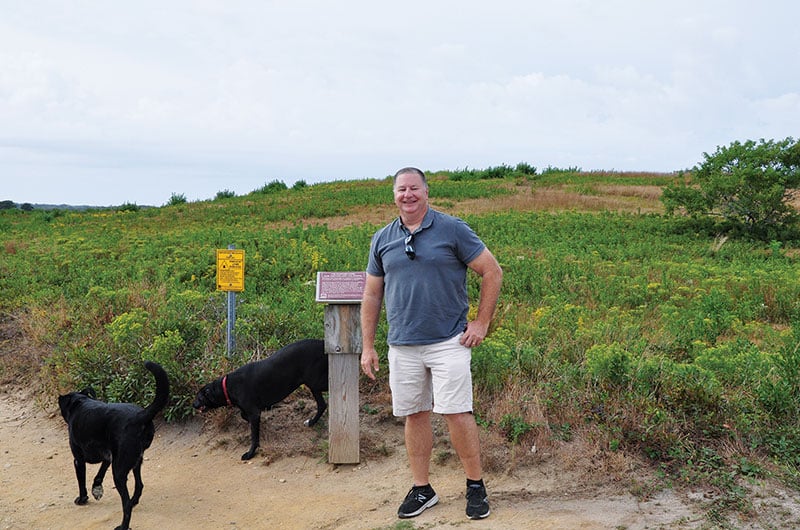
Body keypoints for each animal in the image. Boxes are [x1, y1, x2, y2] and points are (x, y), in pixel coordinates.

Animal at [60, 358, 171, 528]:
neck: (80, 402)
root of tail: (140, 415)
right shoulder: (109, 457)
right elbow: (99, 474)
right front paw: (97, 489)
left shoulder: (78, 460)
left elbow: (81, 481)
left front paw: (82, 498)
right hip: (134, 461)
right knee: (139, 485)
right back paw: (133, 501)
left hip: (119, 472)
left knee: (125, 504)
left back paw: (123, 525)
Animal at [194, 338, 328, 458]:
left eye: (199, 398)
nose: (193, 405)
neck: (227, 386)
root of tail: (322, 343)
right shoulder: (251, 411)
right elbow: (244, 416)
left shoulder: (254, 412)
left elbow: (254, 436)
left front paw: (250, 453)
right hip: (314, 386)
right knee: (322, 405)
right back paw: (311, 422)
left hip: (316, 382)